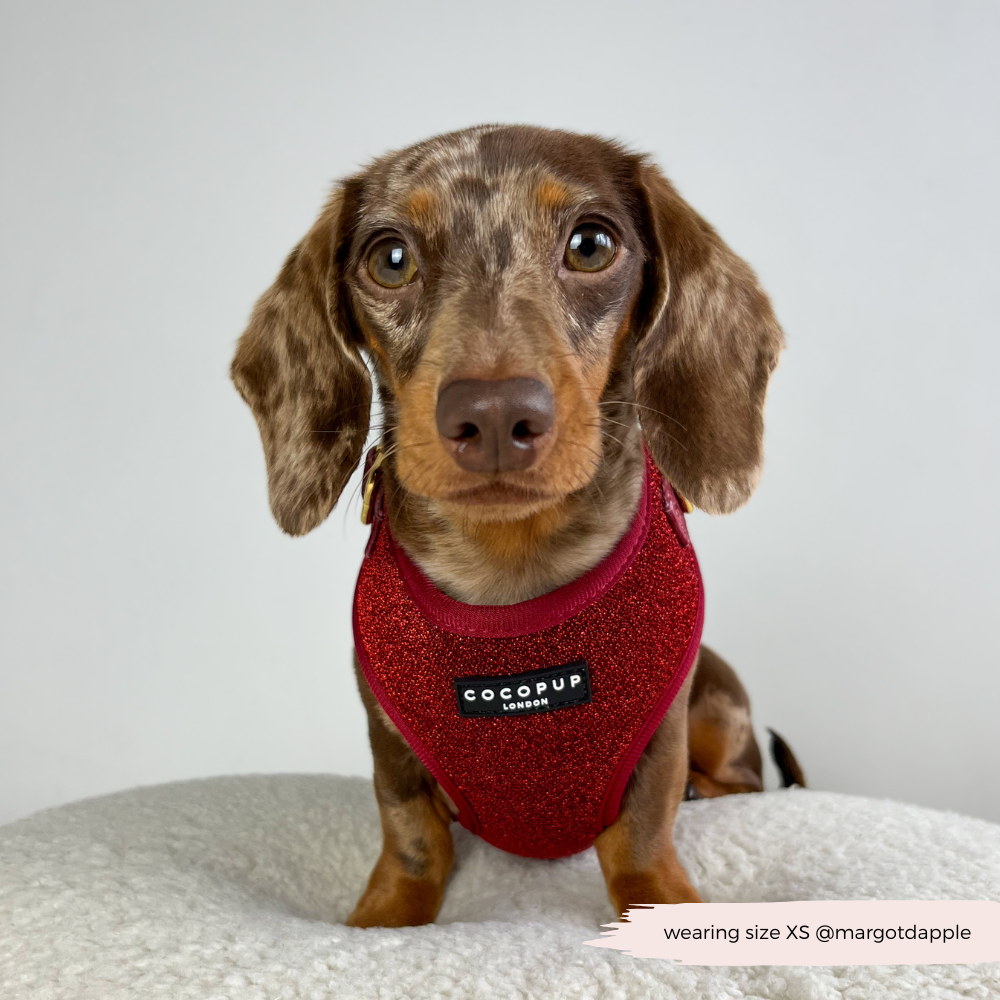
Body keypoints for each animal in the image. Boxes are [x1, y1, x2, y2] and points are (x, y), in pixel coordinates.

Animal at [230, 125, 800, 928]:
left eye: (591, 244)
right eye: (390, 258)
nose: (496, 417)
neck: (509, 573)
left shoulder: (663, 734)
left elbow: (643, 831)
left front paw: (661, 900)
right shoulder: (387, 739)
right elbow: (410, 833)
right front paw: (383, 917)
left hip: (718, 698)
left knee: (741, 778)